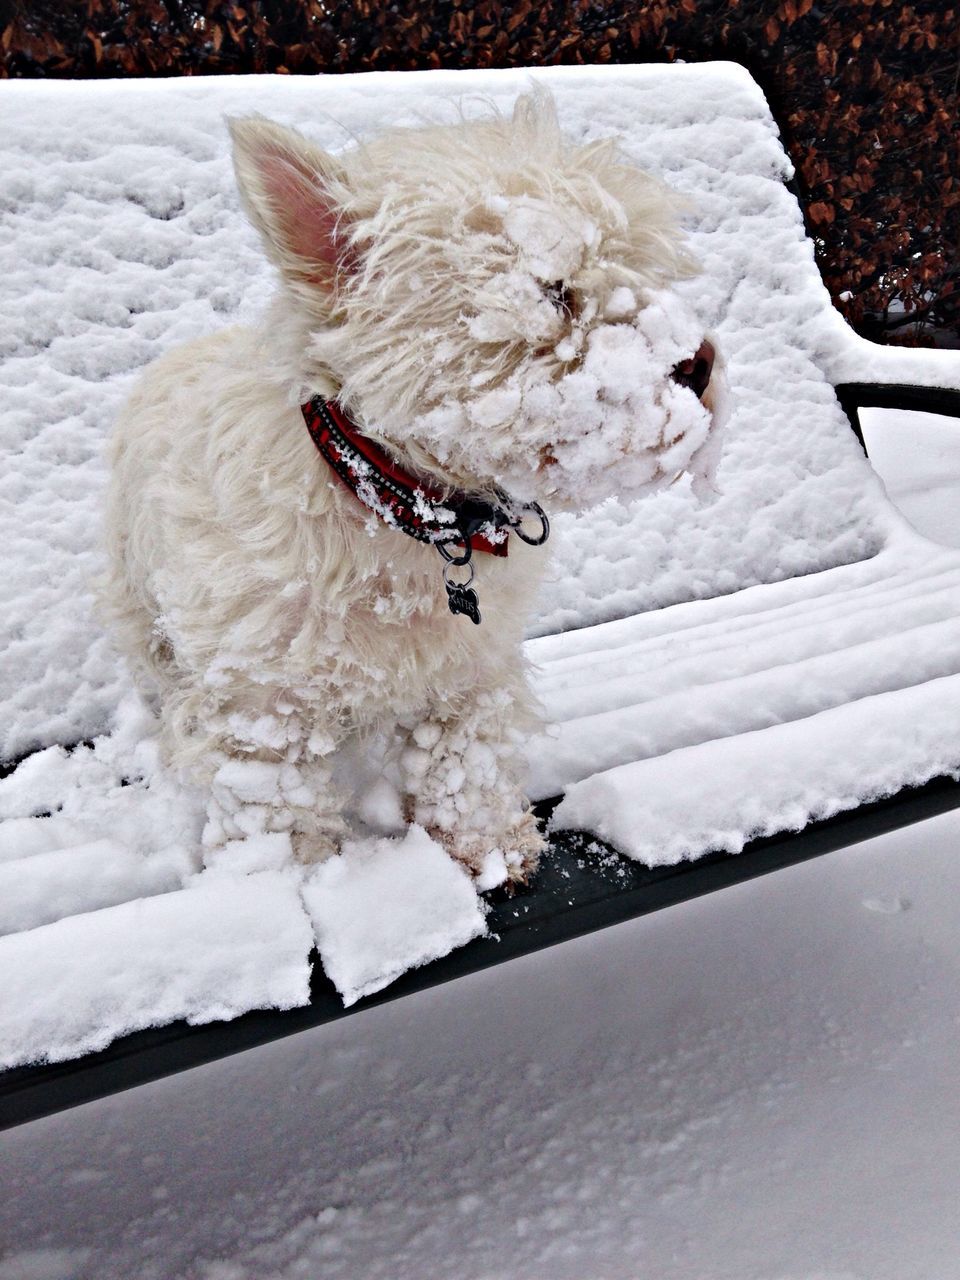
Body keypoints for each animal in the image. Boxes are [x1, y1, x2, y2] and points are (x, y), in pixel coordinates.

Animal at [101, 90, 727, 885]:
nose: (700, 362)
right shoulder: (261, 703)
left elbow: (465, 756)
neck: (404, 511)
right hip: (141, 608)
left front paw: (489, 847)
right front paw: (289, 883)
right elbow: (275, 805)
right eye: (552, 294)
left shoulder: (468, 668)